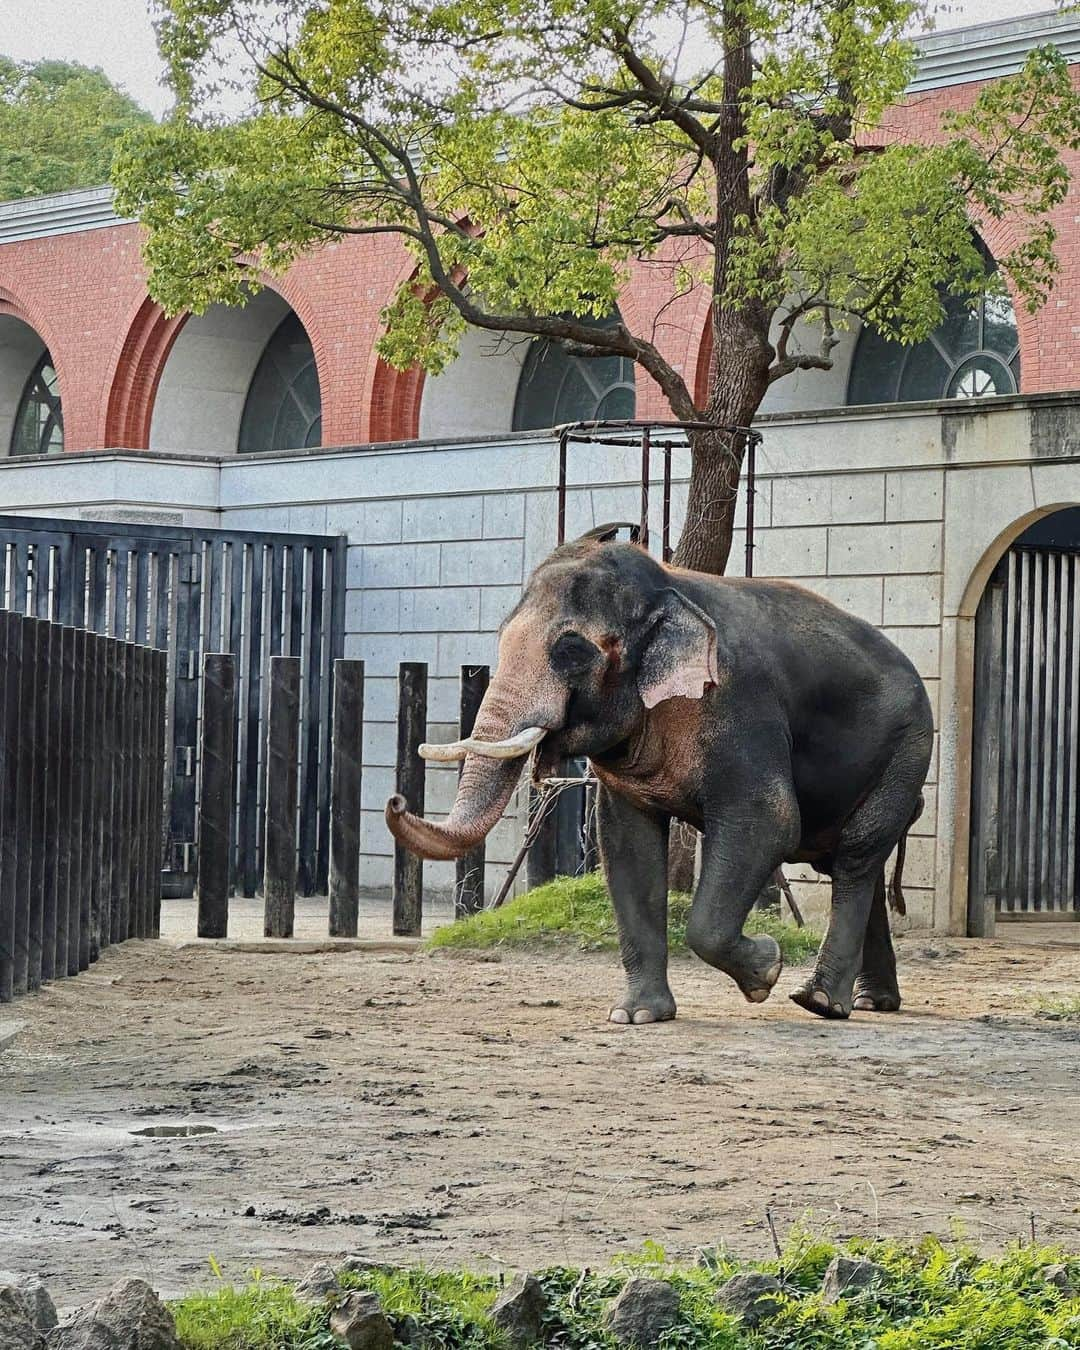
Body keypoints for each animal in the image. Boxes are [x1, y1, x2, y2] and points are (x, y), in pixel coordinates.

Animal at [388, 531, 934, 1015]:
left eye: (571, 650)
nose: (396, 801)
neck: (667, 587)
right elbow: (626, 843)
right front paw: (637, 1015)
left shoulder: (740, 709)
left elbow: (769, 822)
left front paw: (767, 970)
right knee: (851, 860)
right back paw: (870, 1002)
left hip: (908, 749)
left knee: (856, 855)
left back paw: (819, 1002)